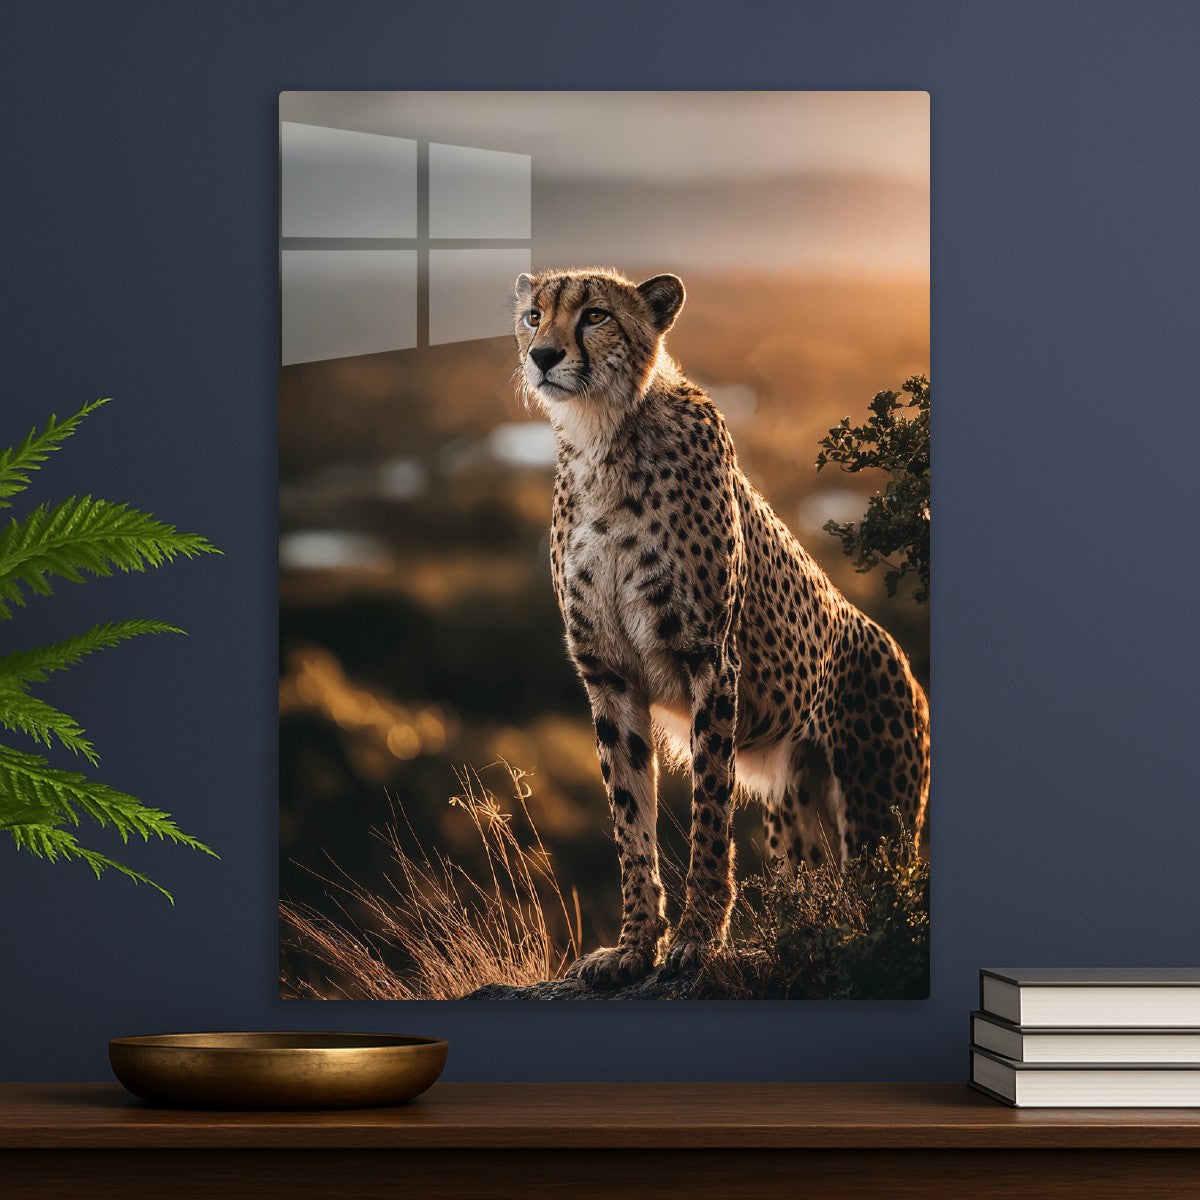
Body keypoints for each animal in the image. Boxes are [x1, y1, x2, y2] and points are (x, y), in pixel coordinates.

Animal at [512, 267, 930, 989]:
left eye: (595, 315)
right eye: (534, 315)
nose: (542, 355)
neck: (603, 440)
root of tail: (899, 656)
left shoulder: (708, 659)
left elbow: (709, 808)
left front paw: (697, 939)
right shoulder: (609, 675)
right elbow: (630, 819)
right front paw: (632, 946)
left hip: (878, 815)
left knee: (884, 907)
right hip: (796, 809)